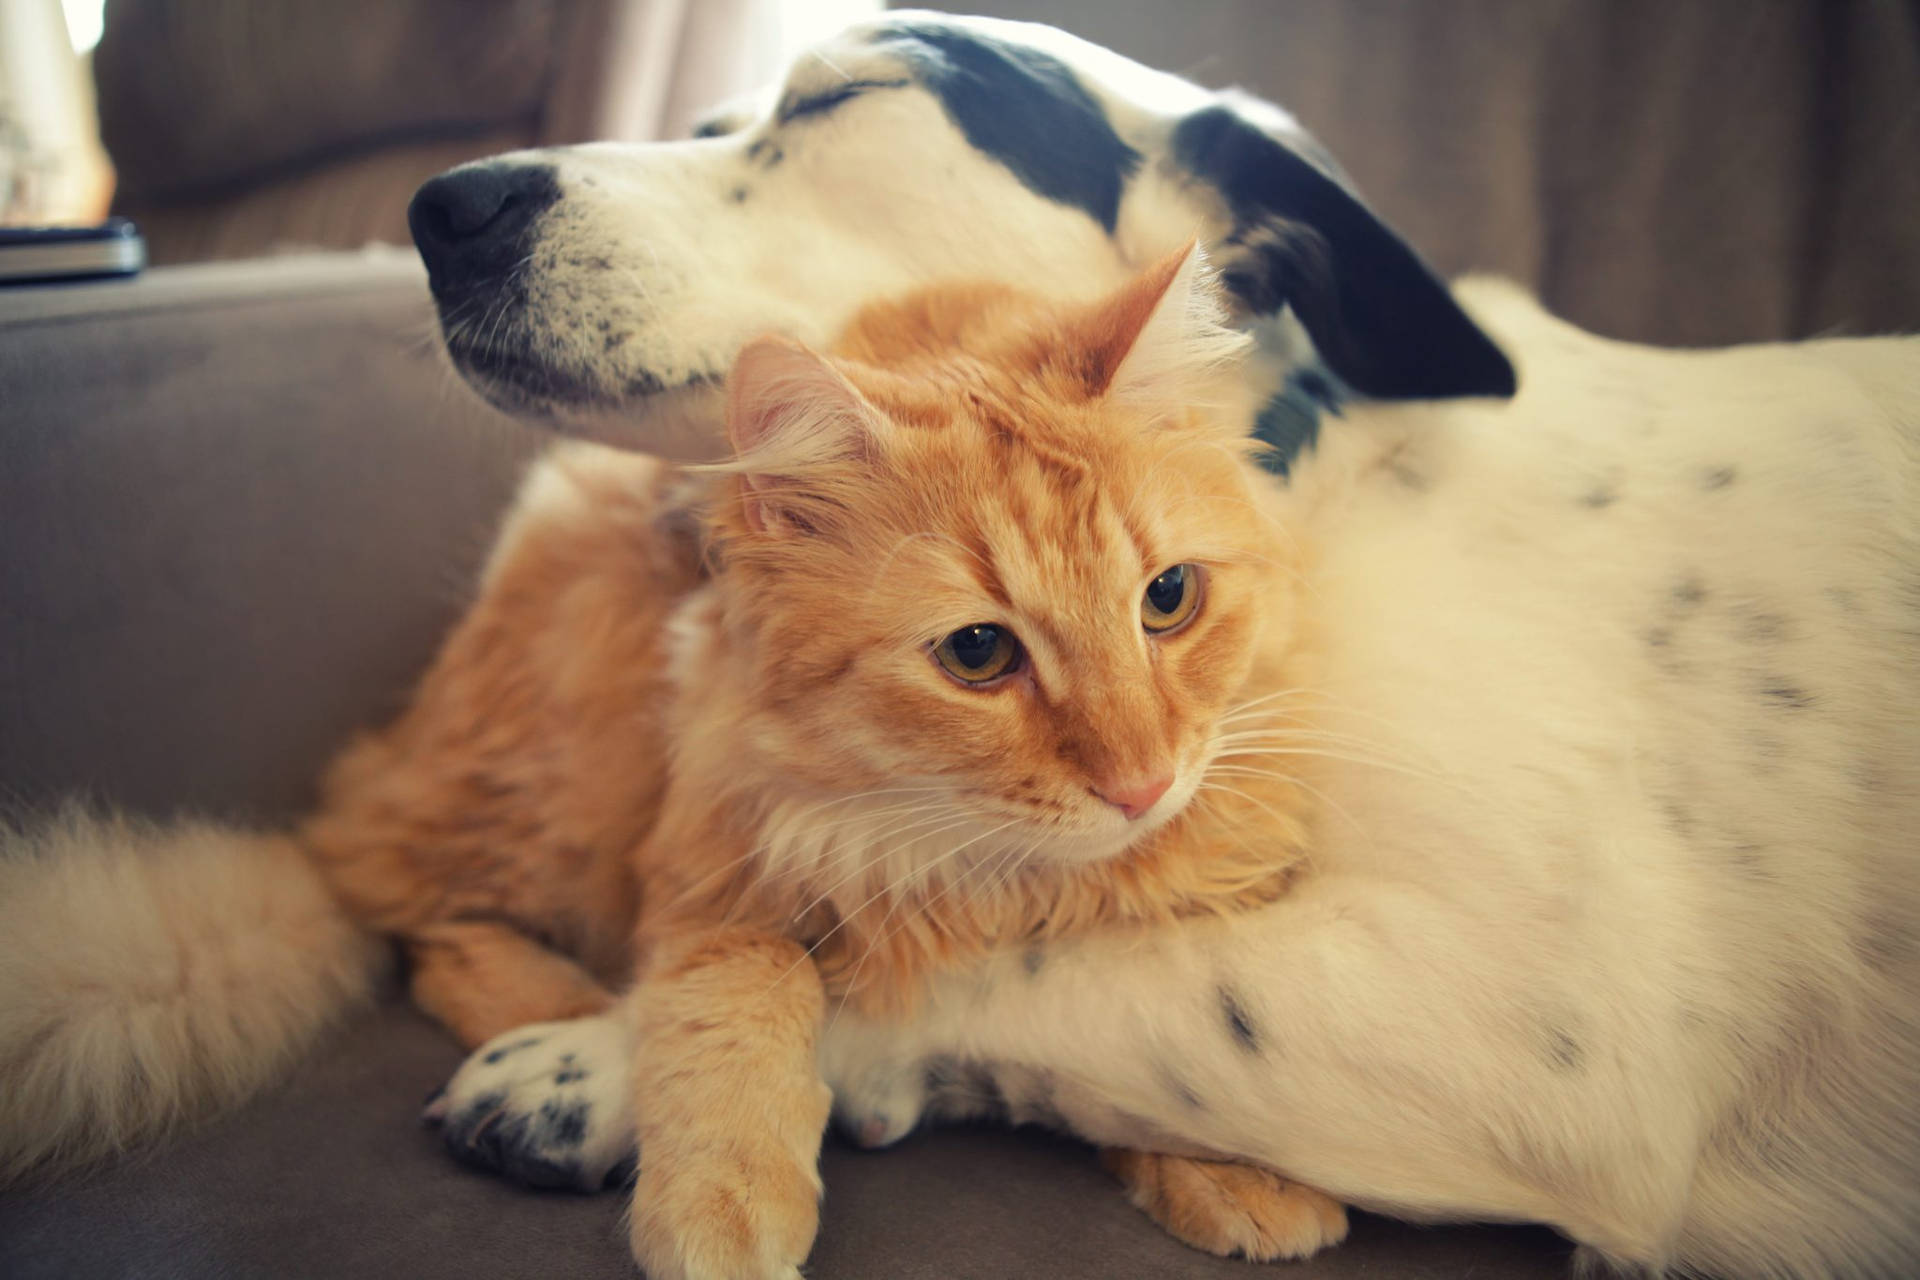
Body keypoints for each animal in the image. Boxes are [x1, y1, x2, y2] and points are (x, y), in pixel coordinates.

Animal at [307, 245, 1344, 1274]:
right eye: (978, 653)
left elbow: (1162, 1047)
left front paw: (1240, 1173)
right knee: (422, 915)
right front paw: (719, 1207)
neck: (1001, 881)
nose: (1143, 786)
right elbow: (745, 986)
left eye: (1169, 597)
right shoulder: (718, 848)